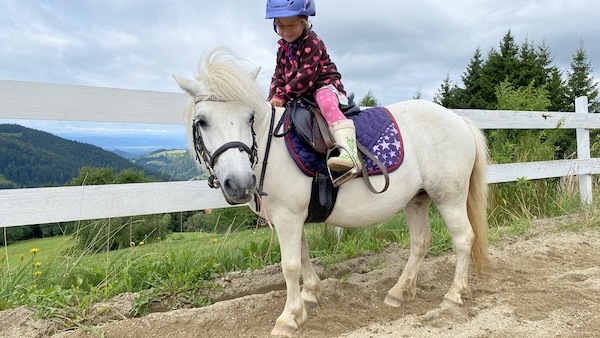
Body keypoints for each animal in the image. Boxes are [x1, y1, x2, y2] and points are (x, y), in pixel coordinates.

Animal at [172, 46, 488, 336]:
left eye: (250, 117)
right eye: (202, 121)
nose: (240, 184)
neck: (268, 146)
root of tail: (459, 120)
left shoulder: (288, 216)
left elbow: (289, 265)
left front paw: (288, 318)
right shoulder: (292, 216)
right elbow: (302, 255)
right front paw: (310, 295)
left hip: (449, 197)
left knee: (463, 239)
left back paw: (453, 295)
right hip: (417, 199)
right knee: (421, 242)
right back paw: (399, 292)